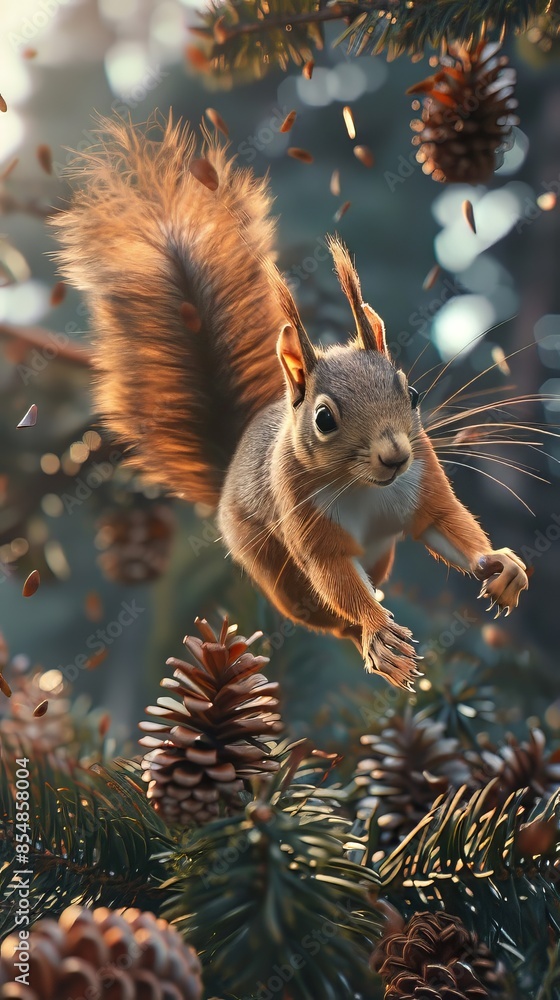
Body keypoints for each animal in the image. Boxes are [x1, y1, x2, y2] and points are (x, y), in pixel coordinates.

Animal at [53, 114, 529, 691]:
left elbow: (448, 523)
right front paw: (377, 632)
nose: (395, 455)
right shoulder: (306, 523)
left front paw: (501, 565)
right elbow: (336, 578)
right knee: (326, 616)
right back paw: (373, 646)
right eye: (324, 418)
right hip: (274, 570)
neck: (364, 486)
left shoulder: (425, 482)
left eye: (411, 393)